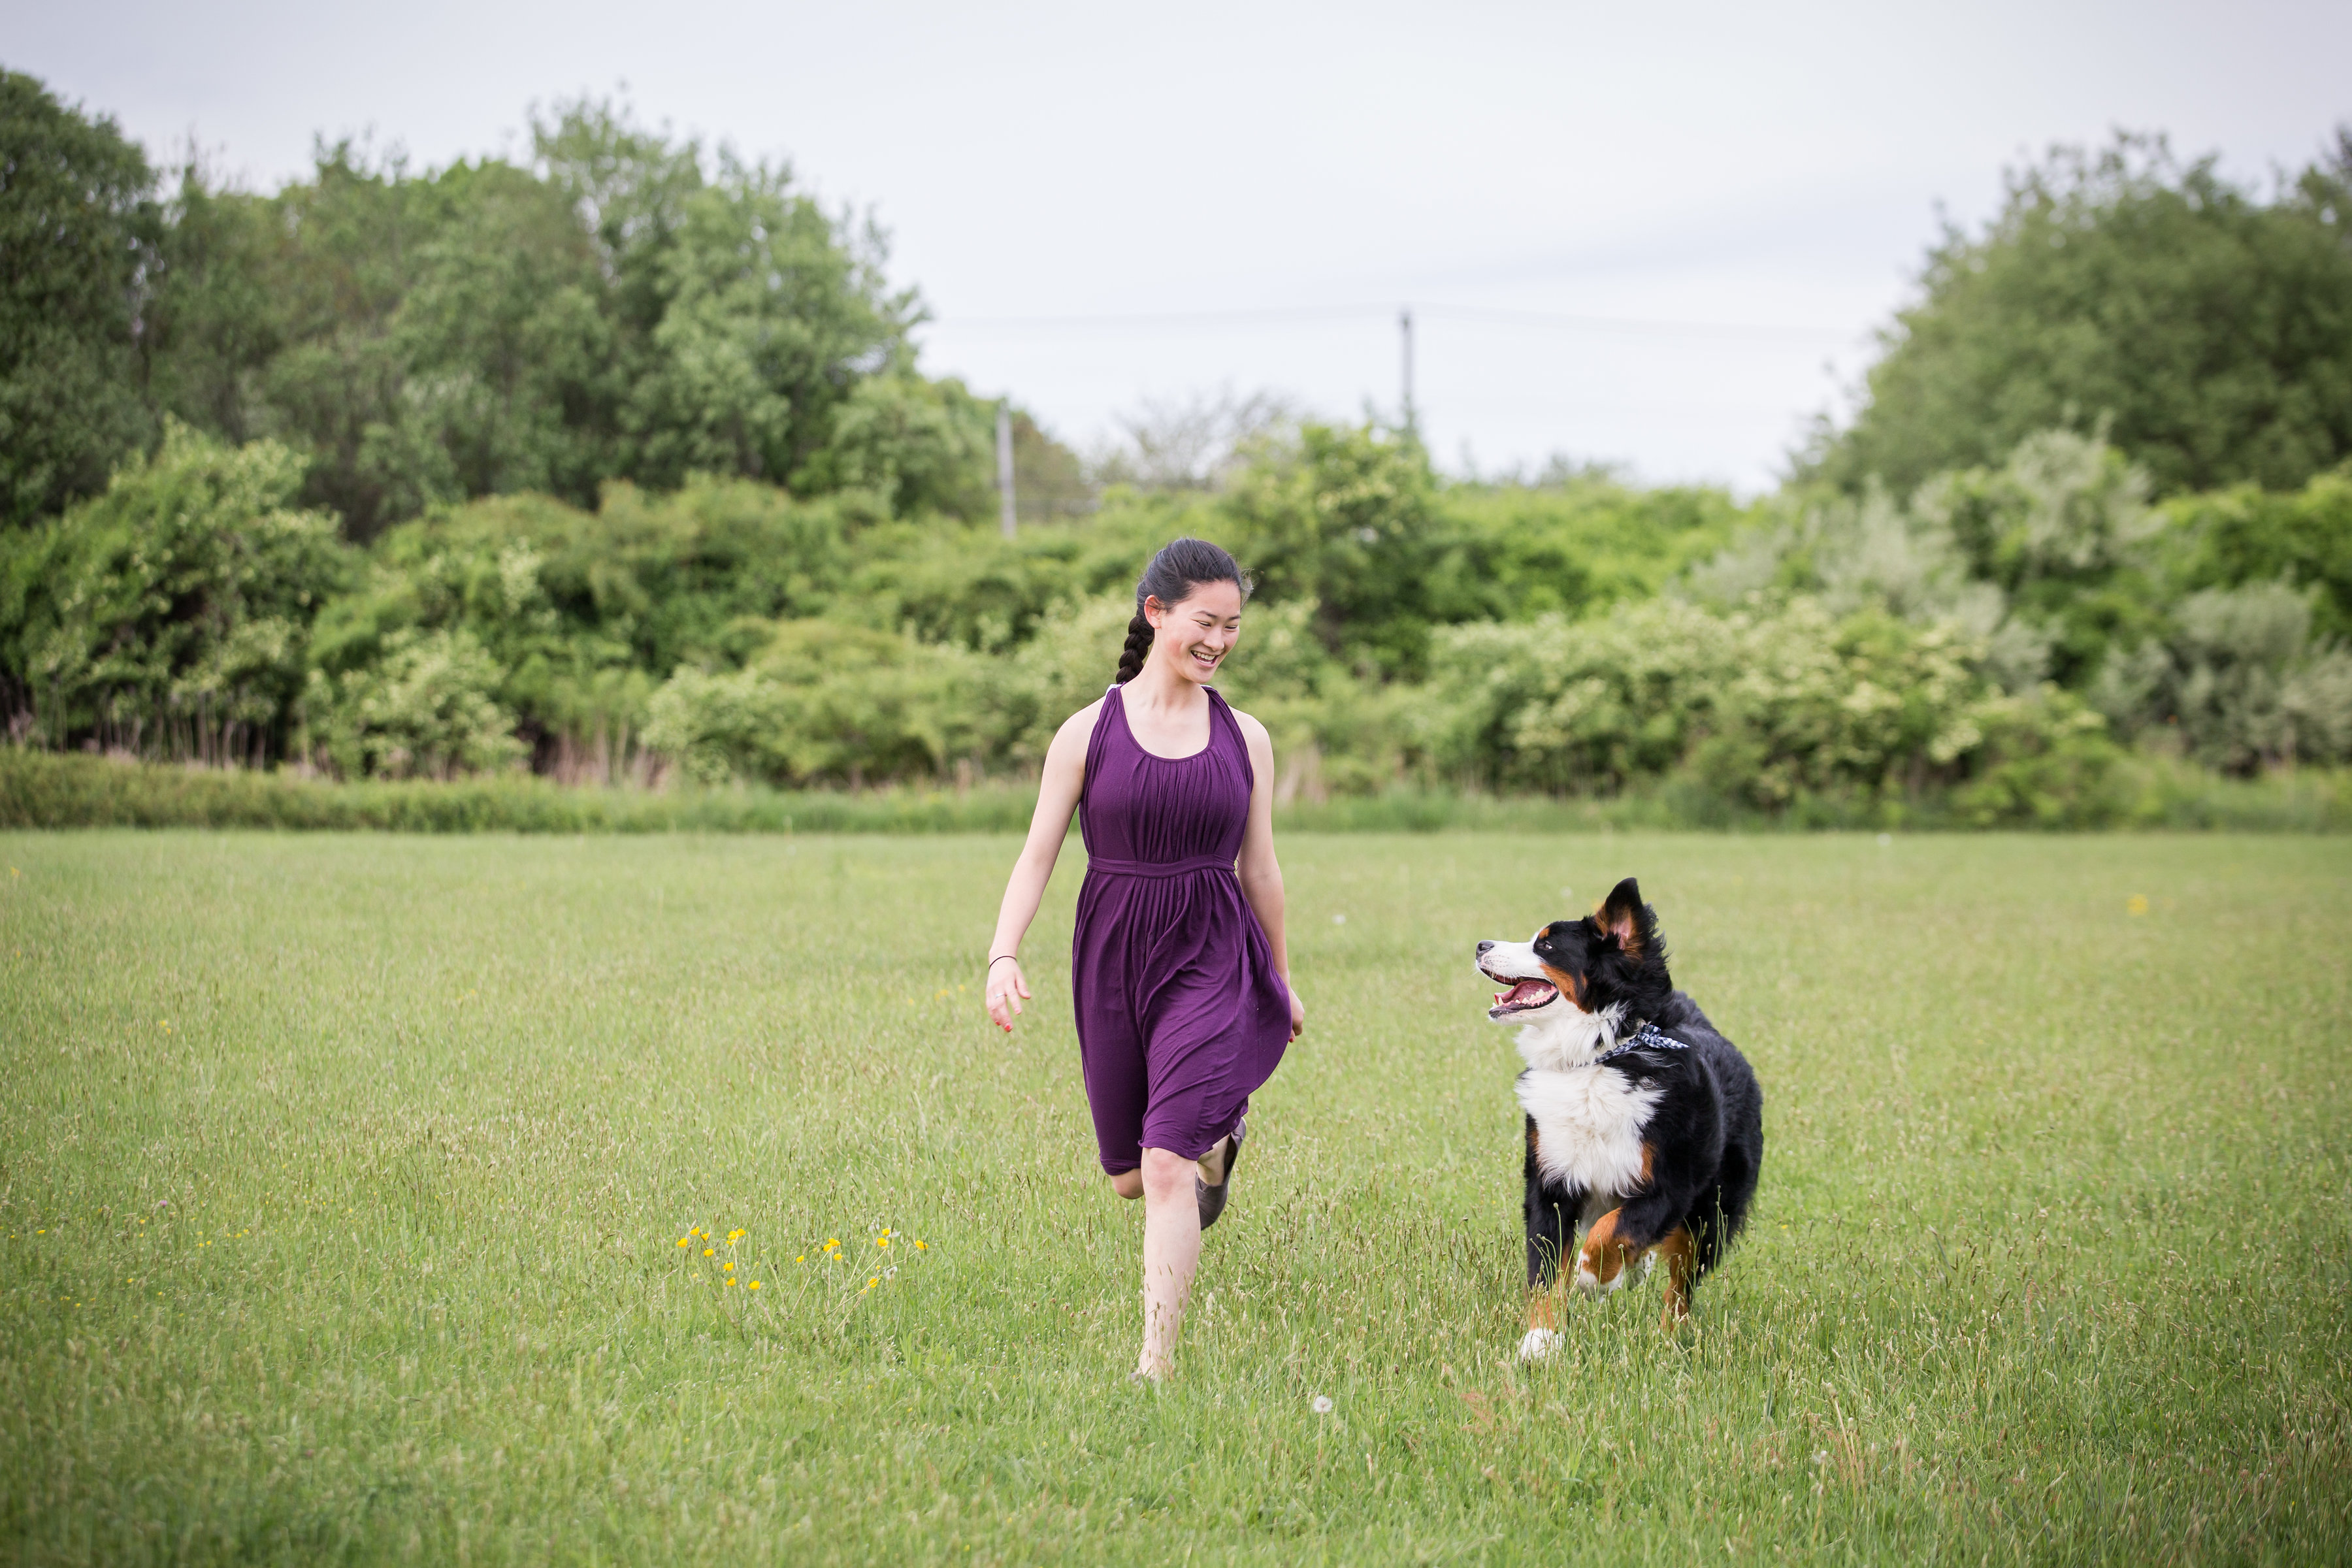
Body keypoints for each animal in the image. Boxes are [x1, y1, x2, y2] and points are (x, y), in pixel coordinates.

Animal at [1476, 876, 1762, 1357]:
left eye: (1546, 945)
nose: (1480, 944)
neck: (1597, 1060)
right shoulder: (1551, 1180)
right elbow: (1547, 1271)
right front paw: (1540, 1341)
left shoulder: (1668, 1187)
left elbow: (1613, 1232)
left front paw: (1596, 1276)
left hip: (1712, 1211)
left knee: (1681, 1284)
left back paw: (1669, 1339)